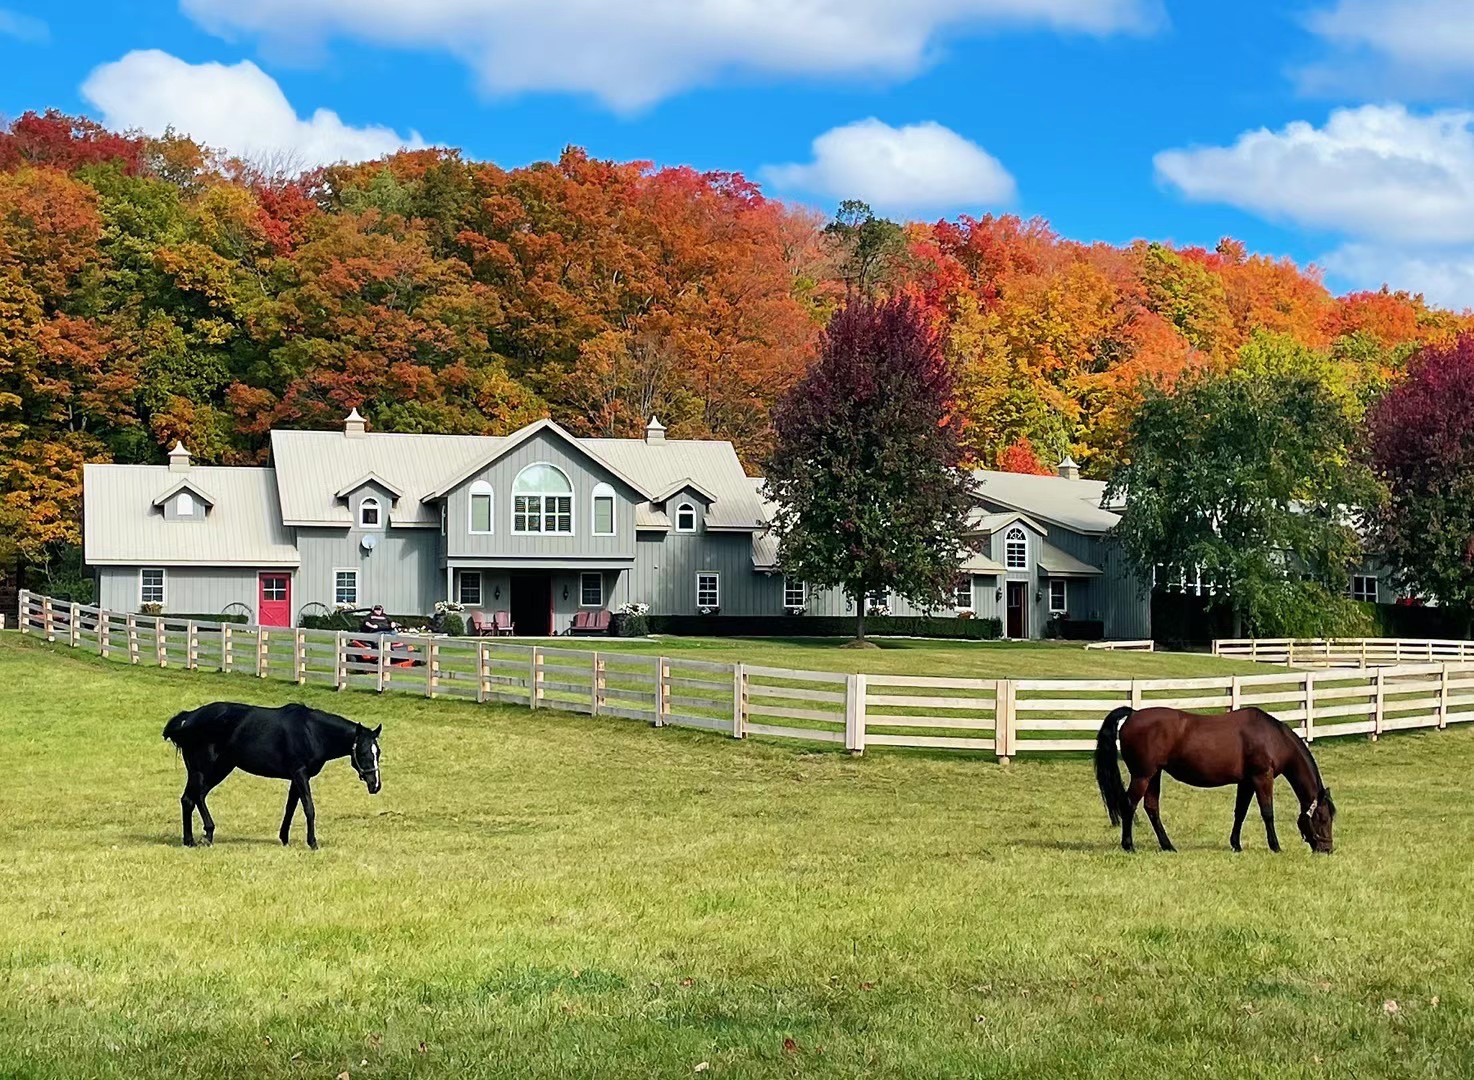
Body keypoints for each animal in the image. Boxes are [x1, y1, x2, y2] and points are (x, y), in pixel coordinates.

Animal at [162, 704, 383, 848]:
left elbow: (290, 808)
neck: (312, 732)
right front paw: (312, 843)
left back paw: (207, 835)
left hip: (220, 768)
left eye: (377, 752)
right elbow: (309, 808)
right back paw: (190, 841)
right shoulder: (300, 774)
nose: (375, 785)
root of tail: (189, 717)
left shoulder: (296, 777)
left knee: (198, 797)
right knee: (189, 799)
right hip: (202, 770)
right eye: (364, 753)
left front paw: (284, 838)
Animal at [1096, 707, 1338, 848]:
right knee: (1129, 805)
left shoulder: (1246, 782)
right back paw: (1129, 845)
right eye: (1323, 818)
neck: (1272, 738)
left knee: (1151, 807)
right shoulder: (1262, 778)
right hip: (1142, 776)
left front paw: (1236, 845)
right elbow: (1267, 812)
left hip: (1154, 775)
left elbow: (1240, 812)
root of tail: (1133, 714)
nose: (1327, 849)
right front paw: (1275, 846)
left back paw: (1168, 846)